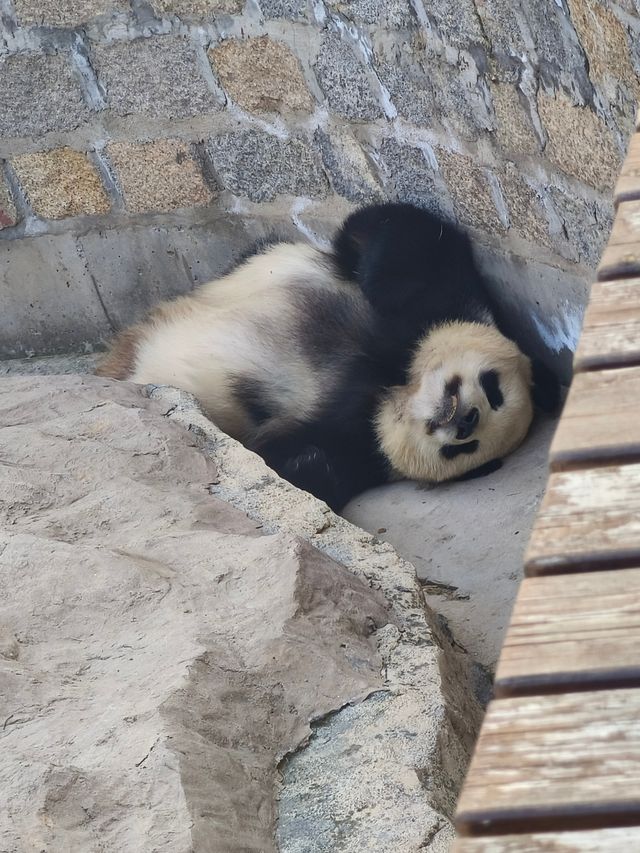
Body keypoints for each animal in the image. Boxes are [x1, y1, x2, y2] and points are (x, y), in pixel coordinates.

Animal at [96, 201, 560, 506]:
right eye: (494, 390)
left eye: (466, 450)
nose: (465, 420)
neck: (391, 392)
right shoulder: (442, 308)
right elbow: (397, 233)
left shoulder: (359, 445)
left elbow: (303, 468)